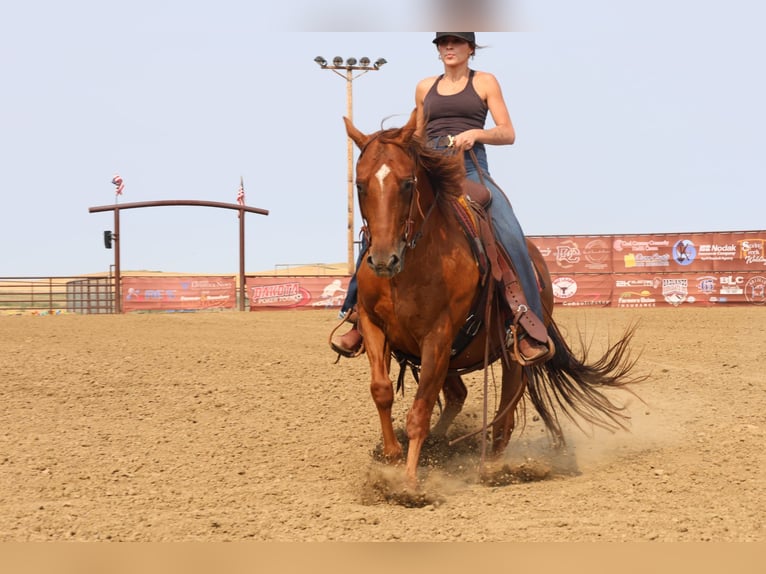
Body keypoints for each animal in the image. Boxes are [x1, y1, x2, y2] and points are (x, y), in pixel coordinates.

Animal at [345, 110, 644, 492]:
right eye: (360, 185)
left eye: (408, 183)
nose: (384, 259)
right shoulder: (374, 325)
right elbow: (382, 390)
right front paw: (393, 459)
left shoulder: (438, 335)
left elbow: (420, 409)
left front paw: (409, 483)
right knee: (457, 396)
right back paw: (441, 446)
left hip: (512, 356)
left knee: (503, 418)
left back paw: (492, 469)